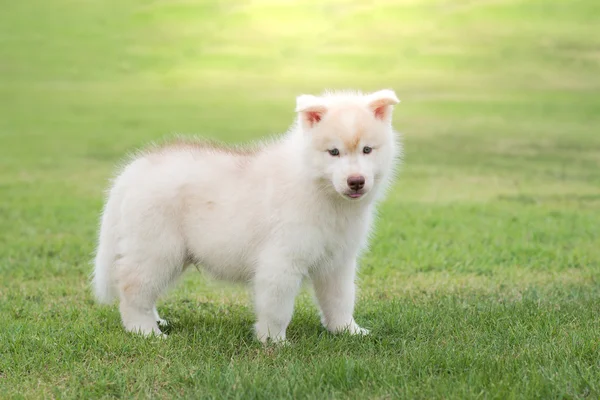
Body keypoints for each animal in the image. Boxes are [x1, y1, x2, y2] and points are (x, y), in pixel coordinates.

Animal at [94, 89, 400, 342]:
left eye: (367, 150)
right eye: (333, 152)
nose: (356, 181)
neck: (321, 192)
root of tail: (134, 169)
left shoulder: (337, 261)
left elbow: (340, 300)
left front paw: (348, 331)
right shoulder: (280, 261)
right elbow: (277, 309)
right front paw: (274, 342)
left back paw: (156, 321)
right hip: (157, 249)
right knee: (133, 289)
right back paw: (145, 331)